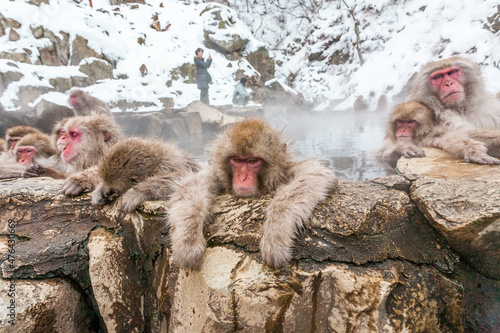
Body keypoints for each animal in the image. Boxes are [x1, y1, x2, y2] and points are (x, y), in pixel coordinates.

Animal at [169, 118, 340, 268]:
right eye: (237, 160)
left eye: (252, 161)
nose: (242, 178)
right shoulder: (216, 175)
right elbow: (192, 185)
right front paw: (188, 241)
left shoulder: (287, 171)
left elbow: (315, 174)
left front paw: (275, 235)